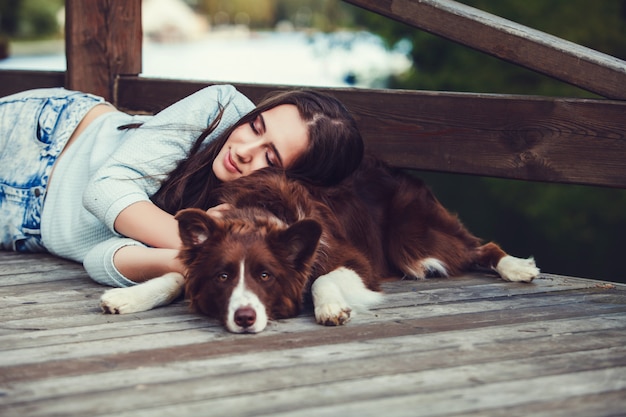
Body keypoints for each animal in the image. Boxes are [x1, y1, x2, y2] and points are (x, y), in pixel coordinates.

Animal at [101, 154, 536, 334]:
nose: (244, 318)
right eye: (222, 277)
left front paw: (330, 307)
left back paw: (517, 267)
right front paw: (129, 296)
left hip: (412, 241)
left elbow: (321, 277)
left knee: (481, 246)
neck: (260, 215)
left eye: (266, 276)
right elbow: (177, 275)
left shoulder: (357, 262)